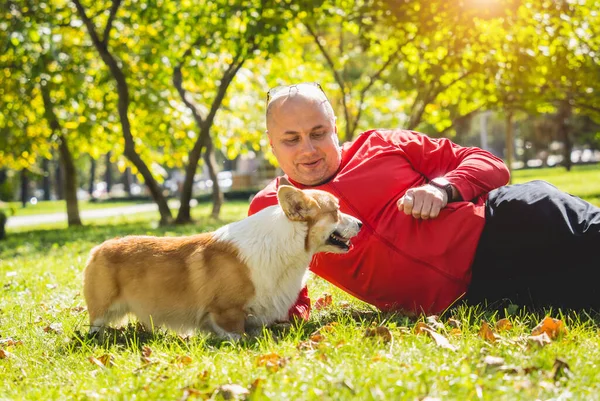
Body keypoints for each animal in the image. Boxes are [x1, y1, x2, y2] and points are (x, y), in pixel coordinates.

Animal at [81, 180, 360, 340]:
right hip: (101, 309)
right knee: (96, 326)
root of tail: (98, 248)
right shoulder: (226, 311)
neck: (283, 244)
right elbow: (237, 333)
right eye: (336, 211)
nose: (360, 224)